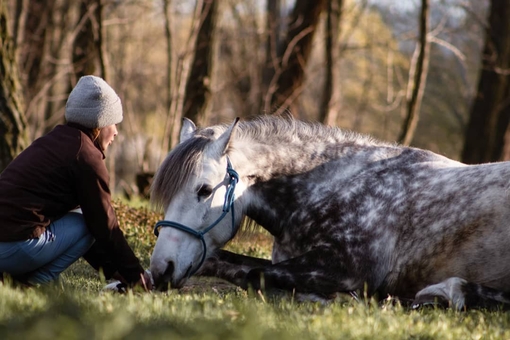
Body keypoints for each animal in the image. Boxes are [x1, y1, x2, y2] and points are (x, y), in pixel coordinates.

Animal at [148, 115, 510, 310]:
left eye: (205, 190)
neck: (334, 184)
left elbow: (255, 275)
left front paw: (333, 298)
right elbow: (224, 263)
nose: (160, 271)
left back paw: (446, 293)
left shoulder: (347, 269)